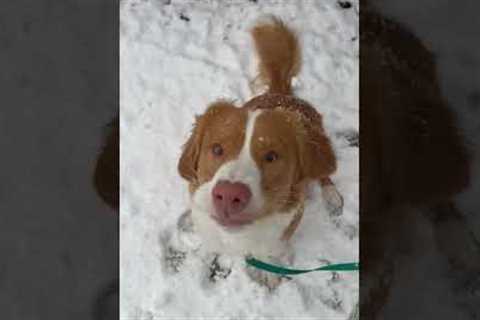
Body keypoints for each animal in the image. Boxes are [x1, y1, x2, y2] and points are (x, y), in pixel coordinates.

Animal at [178, 17, 344, 288]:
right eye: (217, 148)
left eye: (272, 156)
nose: (228, 195)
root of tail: (282, 93)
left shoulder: (284, 229)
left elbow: (270, 252)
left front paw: (269, 273)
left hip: (321, 148)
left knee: (325, 172)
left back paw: (331, 195)